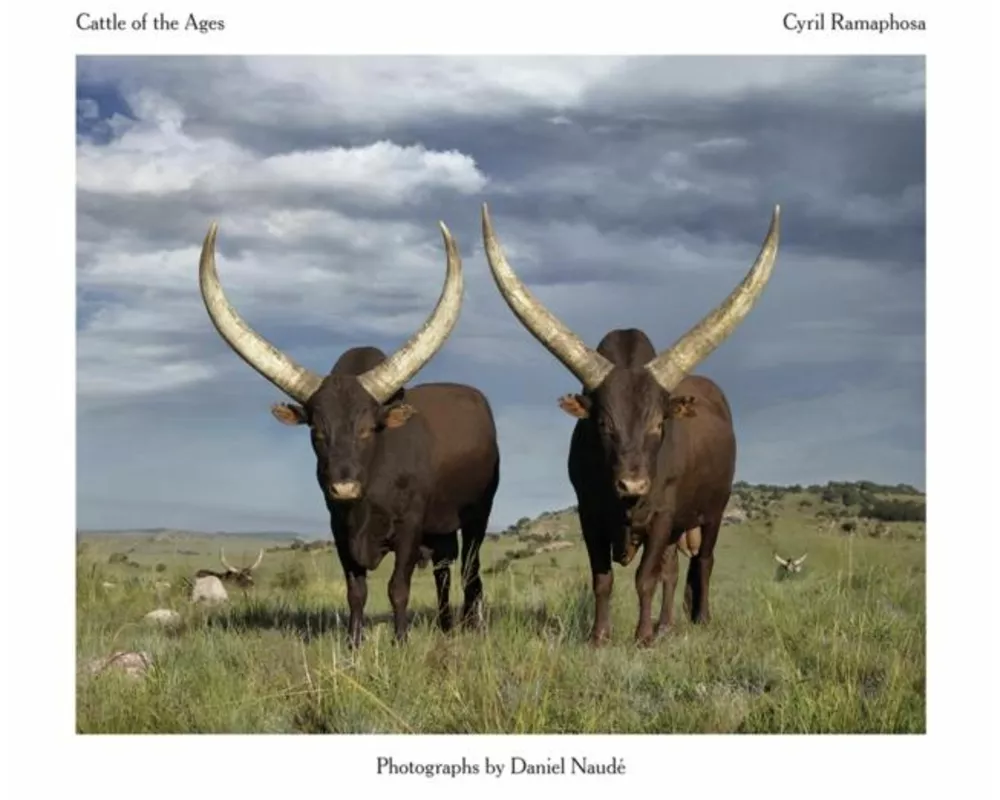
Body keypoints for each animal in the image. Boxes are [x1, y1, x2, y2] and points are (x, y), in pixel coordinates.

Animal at [197, 221, 500, 648]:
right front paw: (354, 643)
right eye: (317, 430)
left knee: (469, 572)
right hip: (441, 529)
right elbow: (356, 591)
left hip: (477, 515)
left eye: (368, 428)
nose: (343, 487)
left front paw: (400, 641)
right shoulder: (339, 531)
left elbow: (398, 587)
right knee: (443, 570)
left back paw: (471, 625)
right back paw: (445, 625)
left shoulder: (409, 528)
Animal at [480, 202, 780, 646]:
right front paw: (600, 636)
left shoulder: (662, 517)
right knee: (673, 570)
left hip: (713, 510)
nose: (633, 485)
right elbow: (603, 579)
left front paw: (642, 637)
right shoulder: (589, 515)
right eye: (603, 423)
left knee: (703, 562)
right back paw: (667, 625)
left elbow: (645, 578)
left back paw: (698, 619)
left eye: (659, 423)